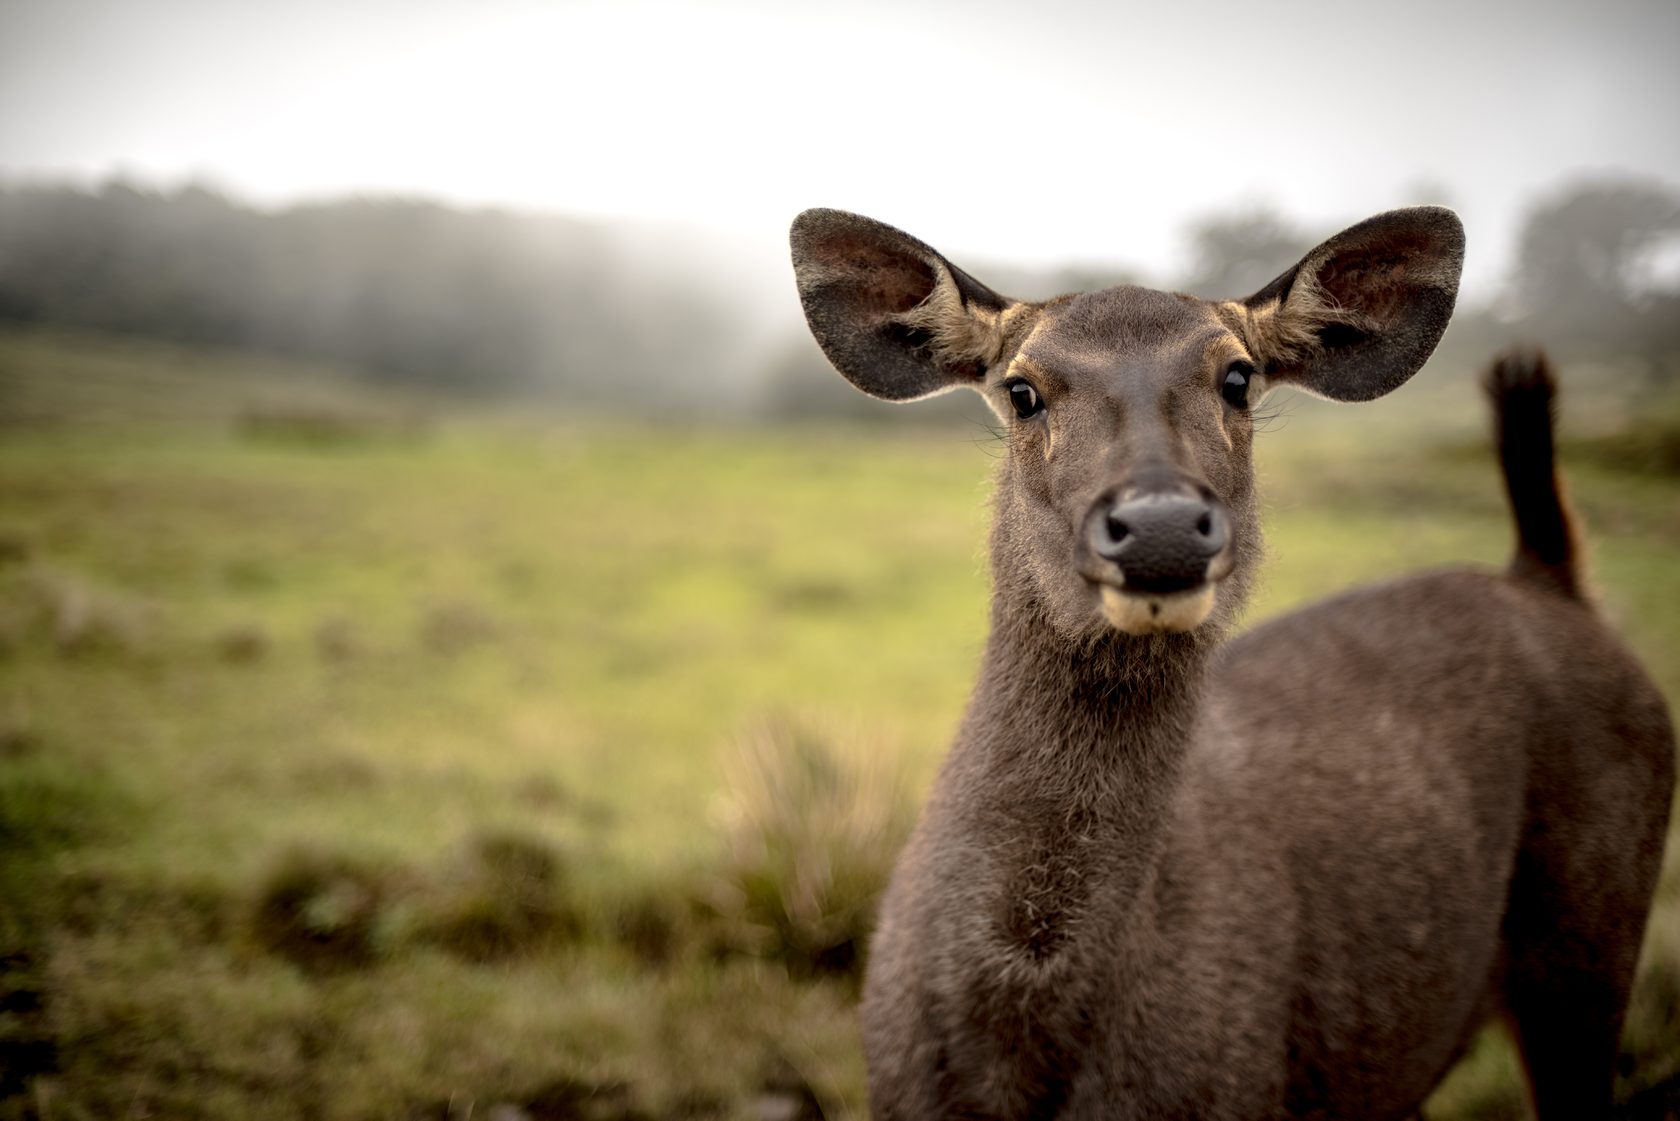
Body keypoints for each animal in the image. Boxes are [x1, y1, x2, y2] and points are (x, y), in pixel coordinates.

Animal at [789, 204, 1680, 1121]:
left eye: (1239, 378)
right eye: (1022, 389)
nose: (1161, 526)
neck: (1013, 1057)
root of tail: (1548, 577)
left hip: (1592, 931)